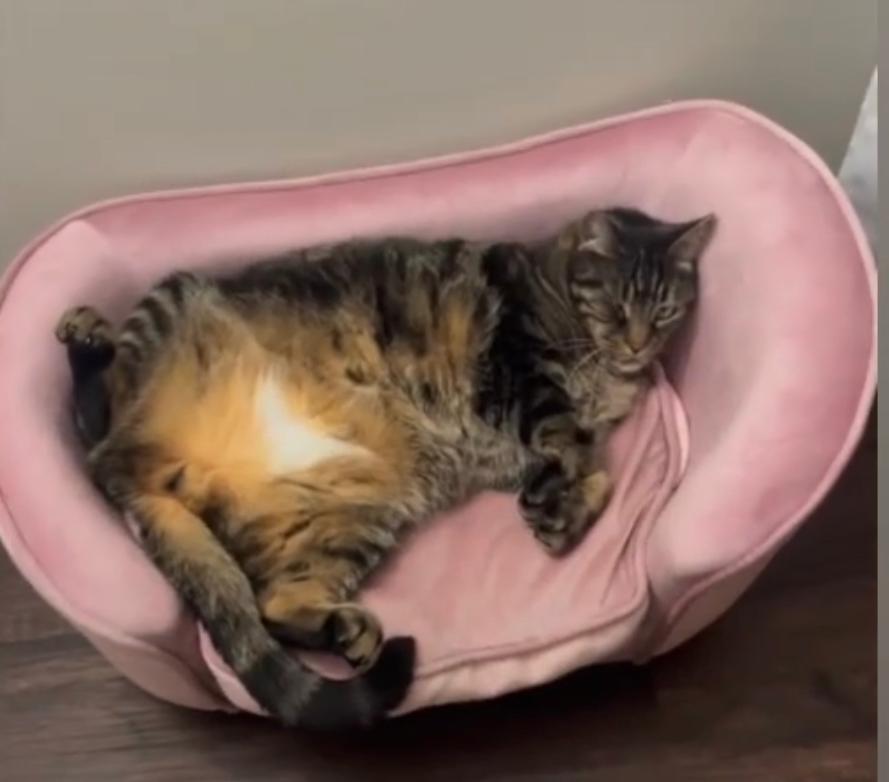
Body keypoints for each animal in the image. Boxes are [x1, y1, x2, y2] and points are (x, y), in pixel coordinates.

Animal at [54, 206, 715, 729]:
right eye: (617, 306)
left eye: (664, 311)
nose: (637, 344)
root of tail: (141, 474)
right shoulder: (521, 373)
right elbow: (584, 453)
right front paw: (568, 498)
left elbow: (580, 469)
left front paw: (560, 506)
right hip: (171, 305)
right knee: (96, 419)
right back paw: (86, 341)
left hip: (350, 511)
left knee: (274, 604)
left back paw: (347, 635)